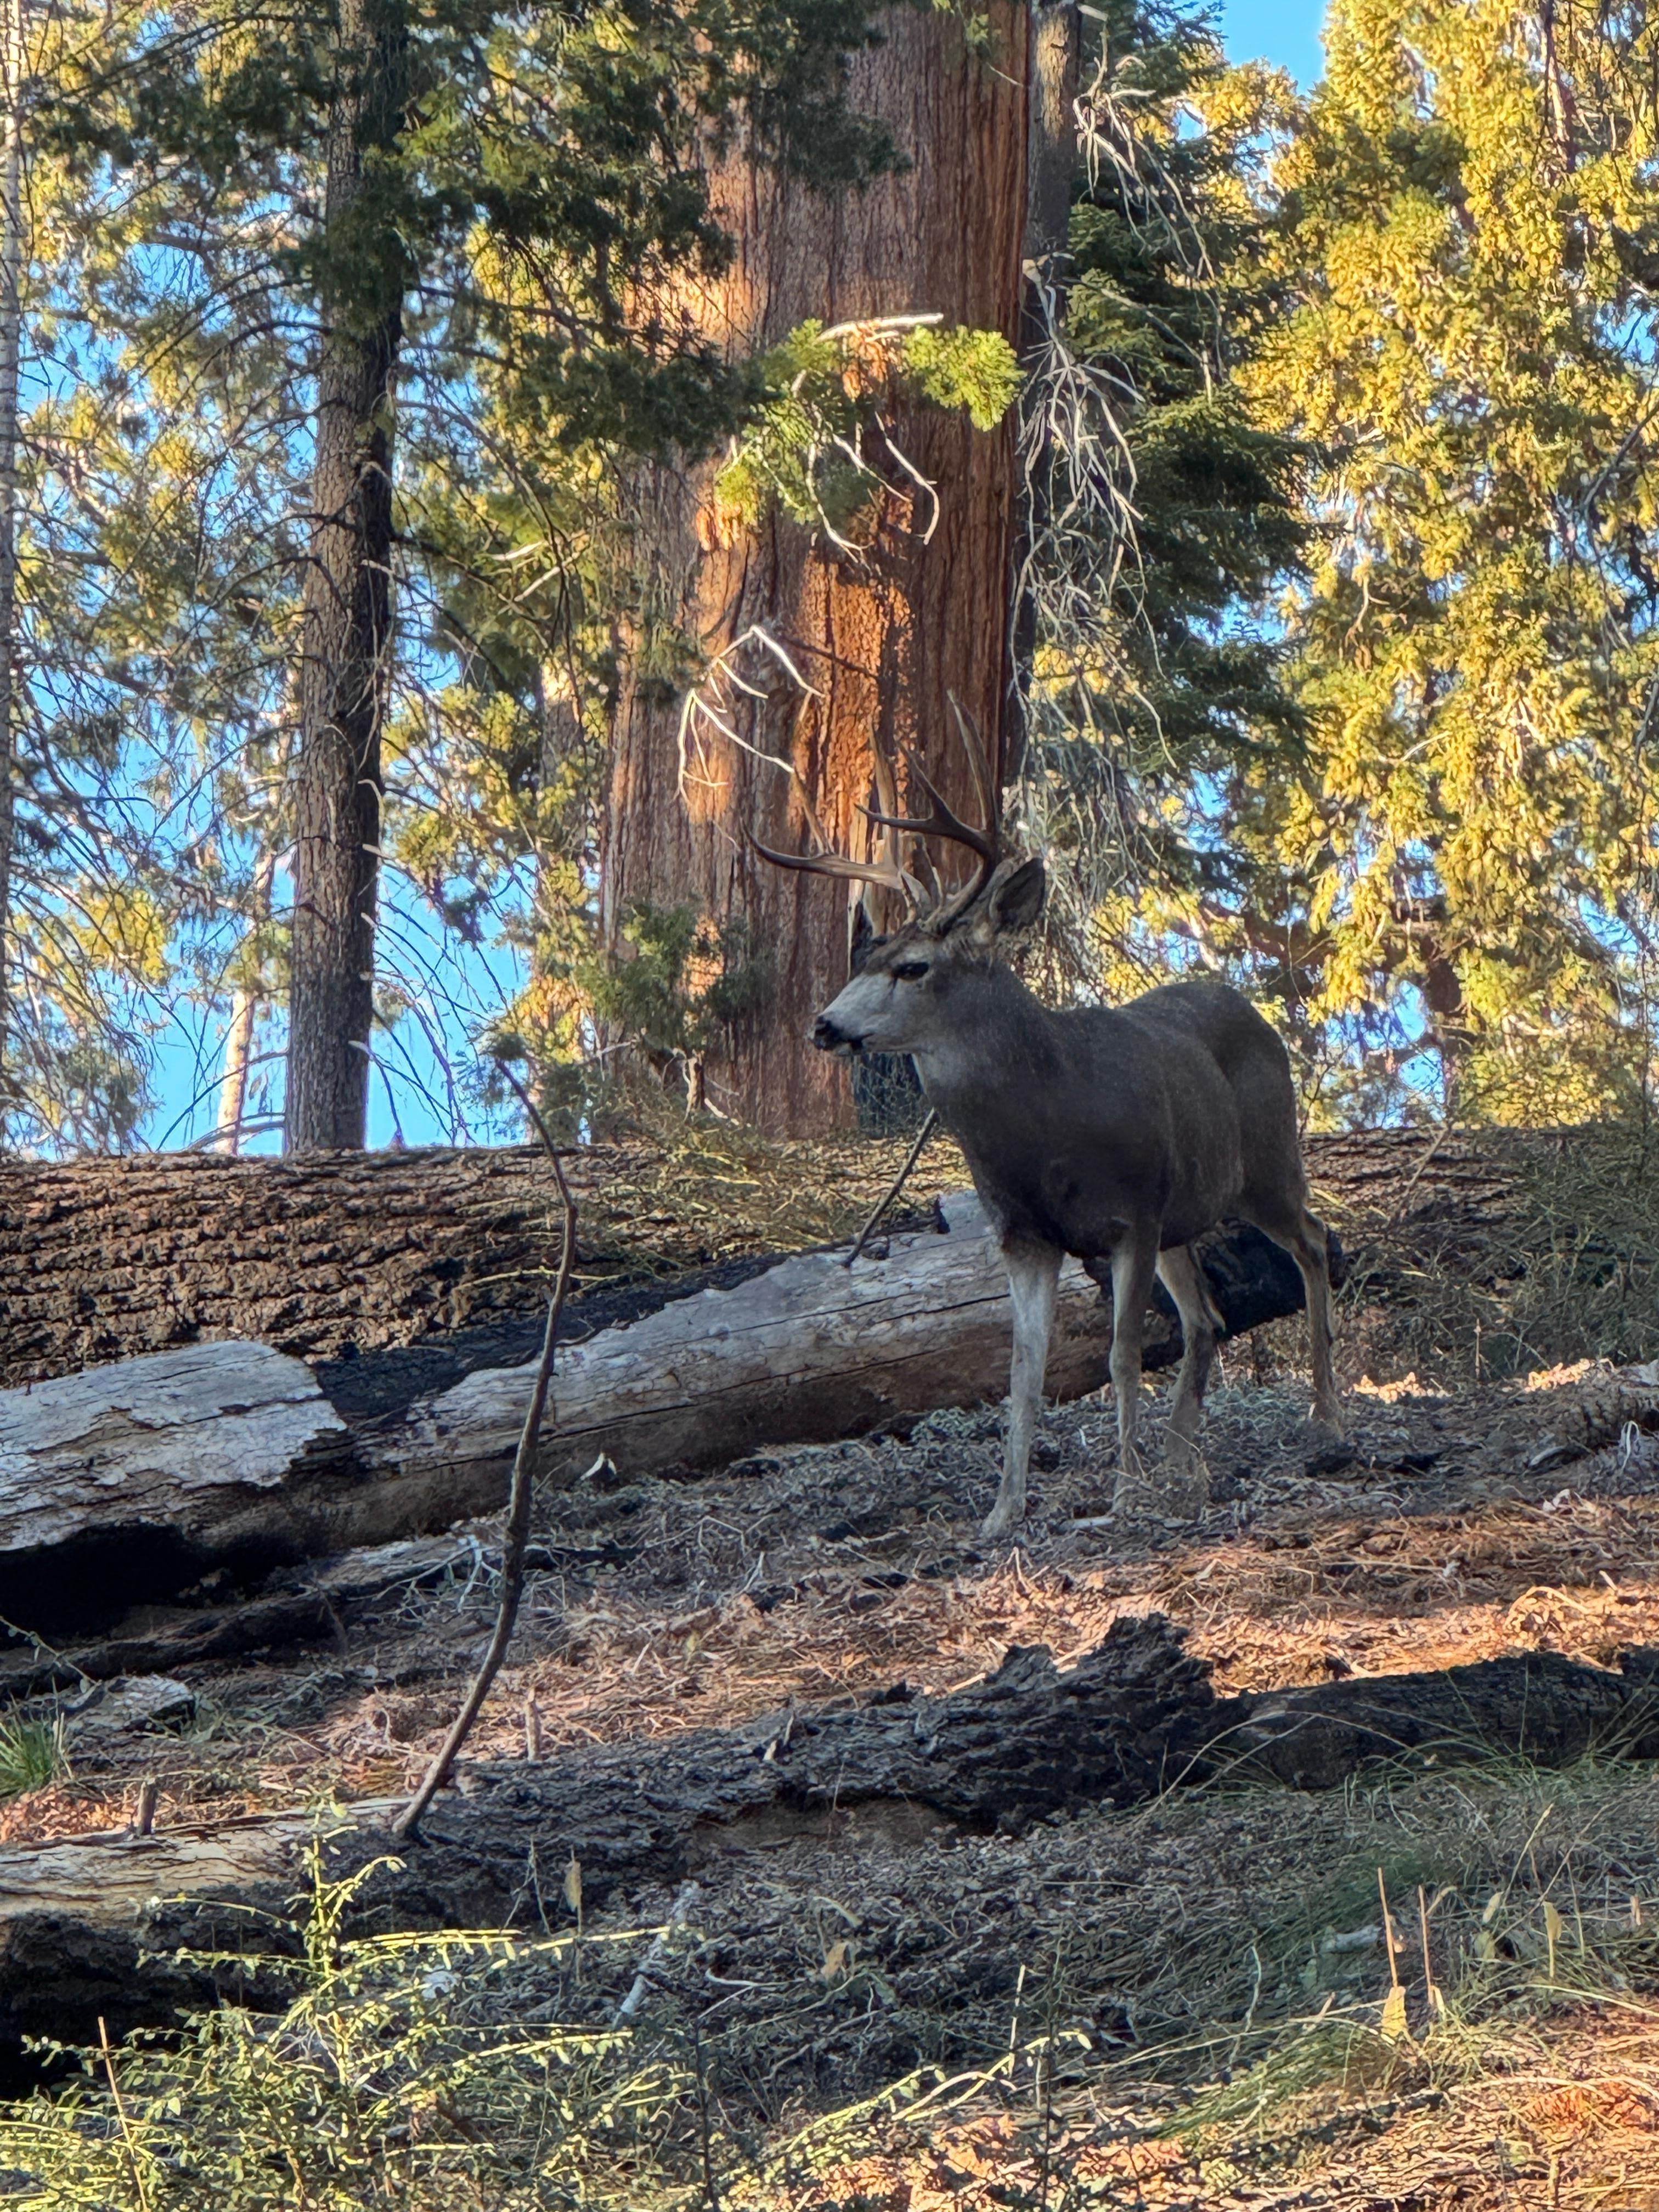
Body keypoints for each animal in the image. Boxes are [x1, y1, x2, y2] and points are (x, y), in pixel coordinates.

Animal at [755, 710, 1341, 1540]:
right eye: (861, 958)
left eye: (913, 968)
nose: (824, 1026)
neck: (1050, 1120)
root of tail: (1250, 1008)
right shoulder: (1024, 1233)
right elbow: (1023, 1369)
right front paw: (1003, 1512)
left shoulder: (1132, 1213)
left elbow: (1122, 1355)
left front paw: (1122, 1494)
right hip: (1187, 1213)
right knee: (1206, 1319)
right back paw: (1181, 1464)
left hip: (1264, 1165)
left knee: (1313, 1242)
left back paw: (1323, 1417)